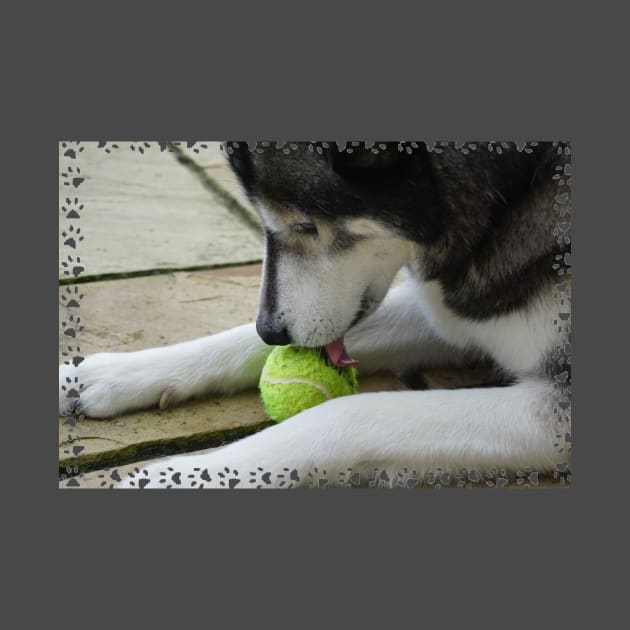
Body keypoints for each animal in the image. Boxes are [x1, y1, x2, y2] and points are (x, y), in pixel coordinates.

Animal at [58, 142, 572, 488]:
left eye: (306, 225)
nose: (272, 331)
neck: (510, 199)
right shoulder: (451, 314)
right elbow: (235, 339)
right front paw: (108, 374)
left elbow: (349, 414)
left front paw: (190, 475)